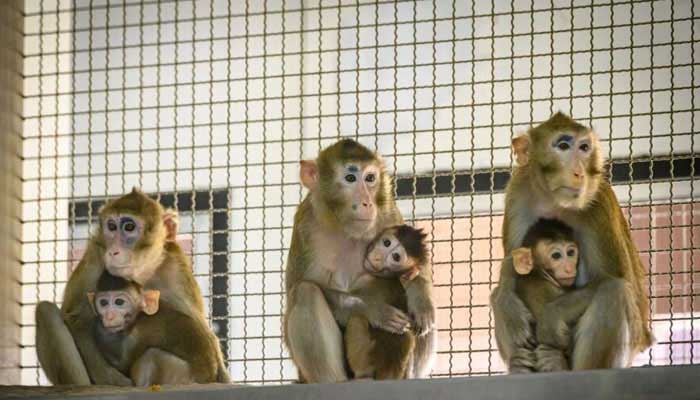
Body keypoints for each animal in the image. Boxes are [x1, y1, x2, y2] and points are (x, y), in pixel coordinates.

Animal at [89, 272, 221, 384]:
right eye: (104, 303)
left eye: (119, 302)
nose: (109, 316)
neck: (140, 316)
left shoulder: (139, 333)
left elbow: (124, 364)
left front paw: (99, 328)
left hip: (180, 375)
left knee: (151, 355)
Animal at [344, 223, 430, 380]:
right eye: (387, 243)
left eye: (396, 257)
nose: (378, 256)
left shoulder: (364, 281)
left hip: (363, 359)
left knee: (357, 318)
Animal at [490, 111, 652, 374]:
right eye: (563, 146)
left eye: (584, 148)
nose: (579, 173)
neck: (554, 202)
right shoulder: (518, 193)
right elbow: (514, 266)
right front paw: (506, 302)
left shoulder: (598, 204)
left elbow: (623, 283)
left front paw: (551, 316)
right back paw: (519, 364)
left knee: (614, 290)